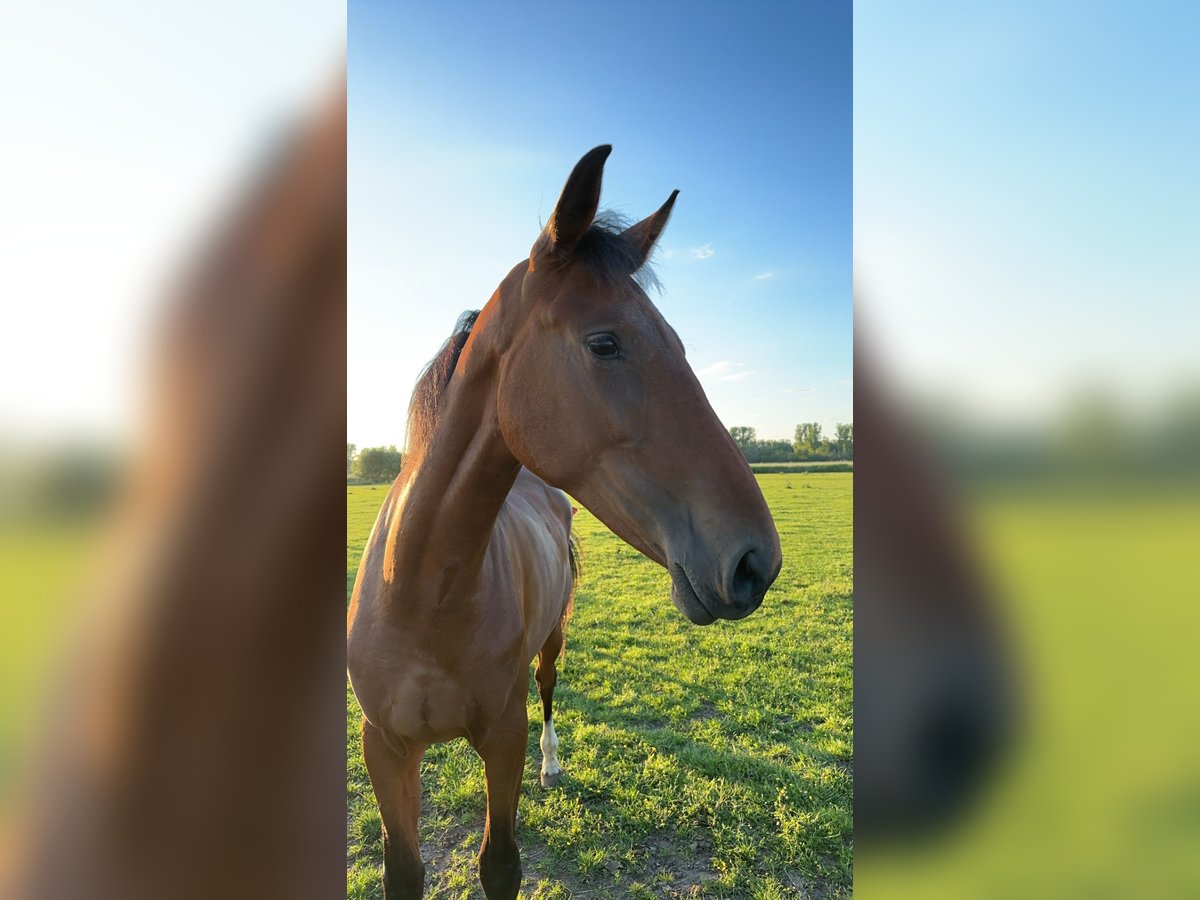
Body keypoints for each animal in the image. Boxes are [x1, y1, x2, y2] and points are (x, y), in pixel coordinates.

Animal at [343, 144, 782, 897]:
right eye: (604, 342)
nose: (757, 561)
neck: (422, 593)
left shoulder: (503, 737)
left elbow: (500, 864)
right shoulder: (385, 748)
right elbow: (404, 869)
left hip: (553, 640)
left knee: (549, 691)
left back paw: (554, 763)